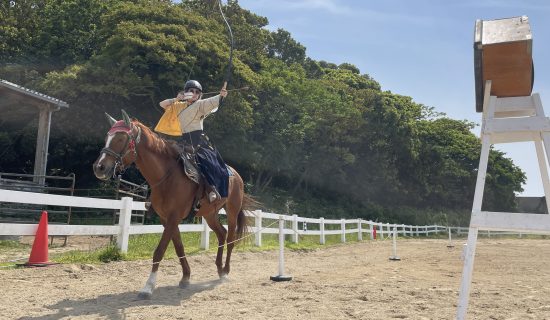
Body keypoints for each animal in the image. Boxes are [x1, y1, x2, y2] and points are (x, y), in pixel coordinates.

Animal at [94, 109, 258, 298]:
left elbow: (160, 251)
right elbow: (179, 246)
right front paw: (186, 277)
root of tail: (236, 175)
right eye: (107, 137)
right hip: (210, 214)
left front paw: (148, 286)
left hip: (231, 211)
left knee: (230, 239)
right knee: (221, 234)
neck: (167, 176)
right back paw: (218, 269)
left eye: (121, 138)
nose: (99, 167)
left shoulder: (174, 217)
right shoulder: (166, 218)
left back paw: (225, 272)